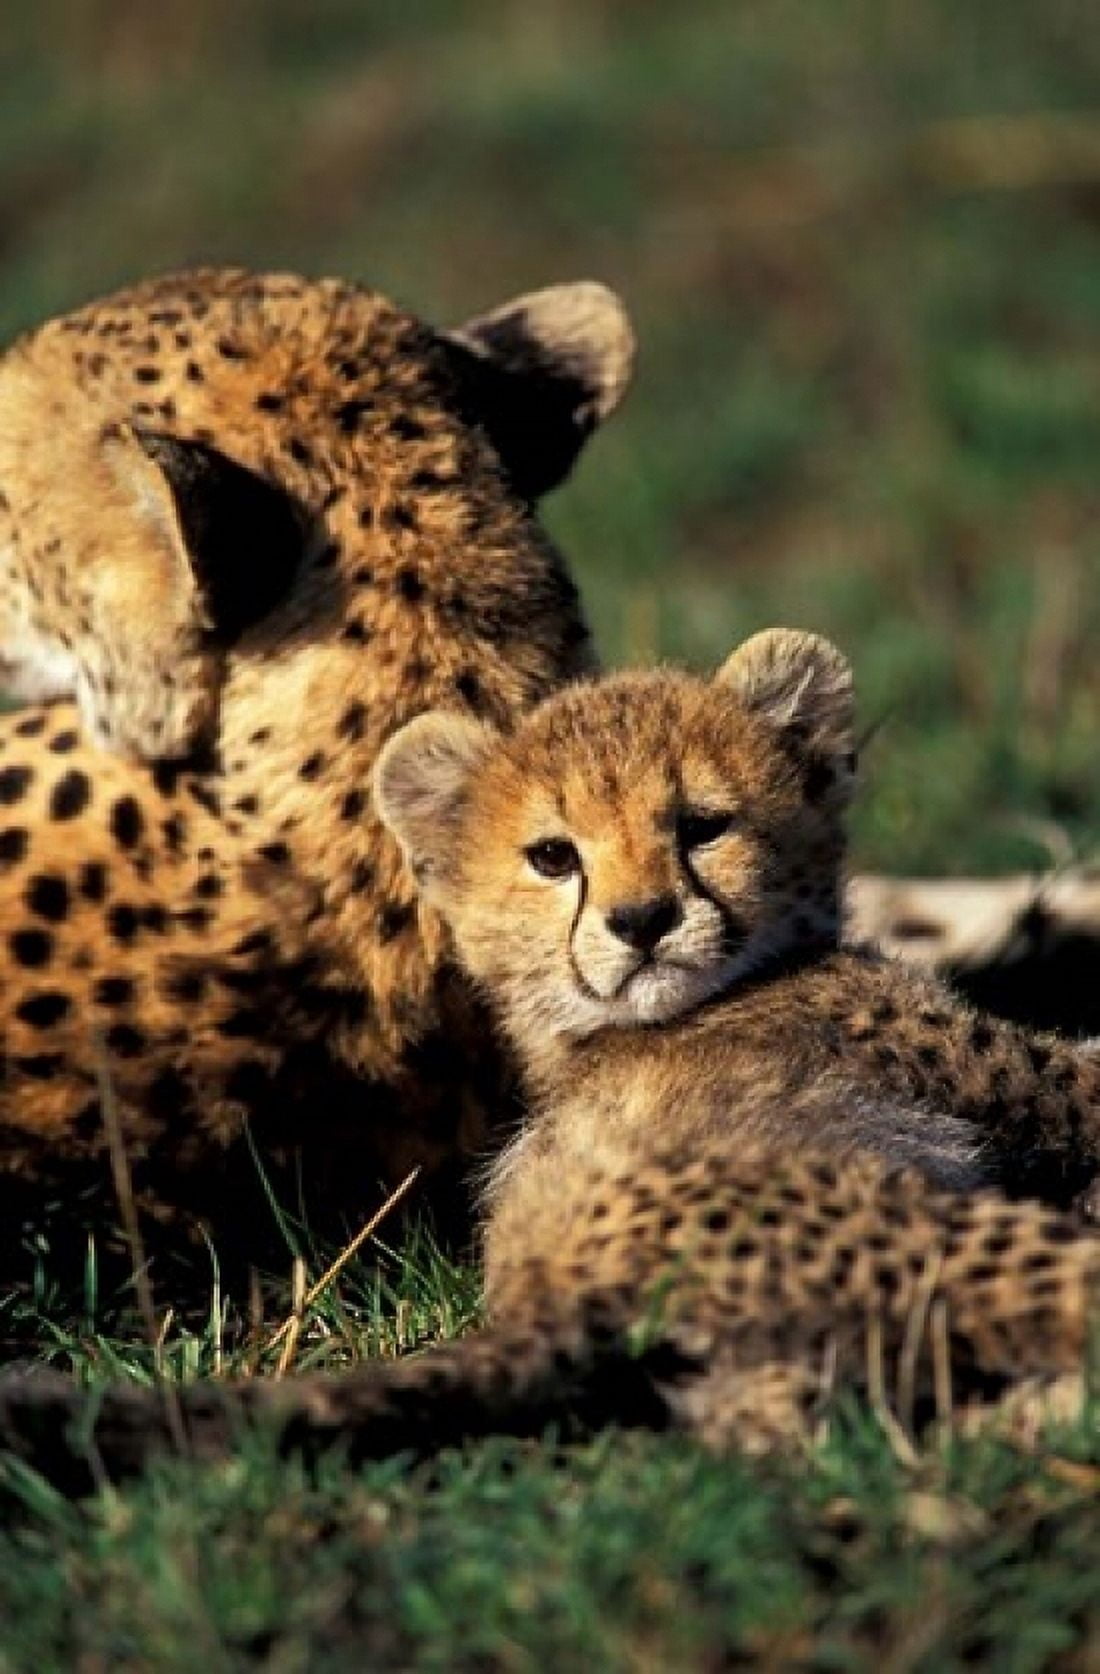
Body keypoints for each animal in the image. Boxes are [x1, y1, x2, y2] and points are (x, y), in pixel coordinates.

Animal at [3, 628, 1097, 1489]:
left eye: (702, 827)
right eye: (553, 857)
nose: (642, 921)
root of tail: (545, 1291)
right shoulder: (998, 1078)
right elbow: (1081, 1073)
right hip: (920, 1229)